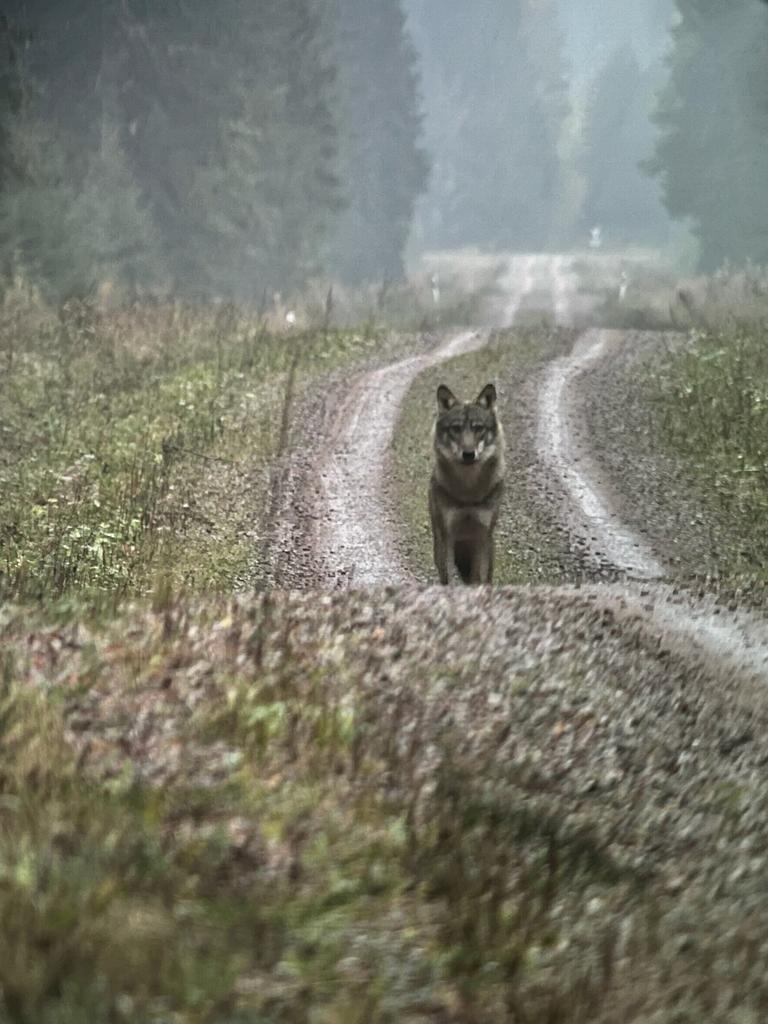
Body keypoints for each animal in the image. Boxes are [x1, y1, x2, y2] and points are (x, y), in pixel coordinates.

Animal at [430, 382, 507, 585]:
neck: (468, 490)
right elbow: (450, 579)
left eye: (478, 428)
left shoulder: (482, 536)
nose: (468, 454)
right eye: (456, 429)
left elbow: (480, 578)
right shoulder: (448, 537)